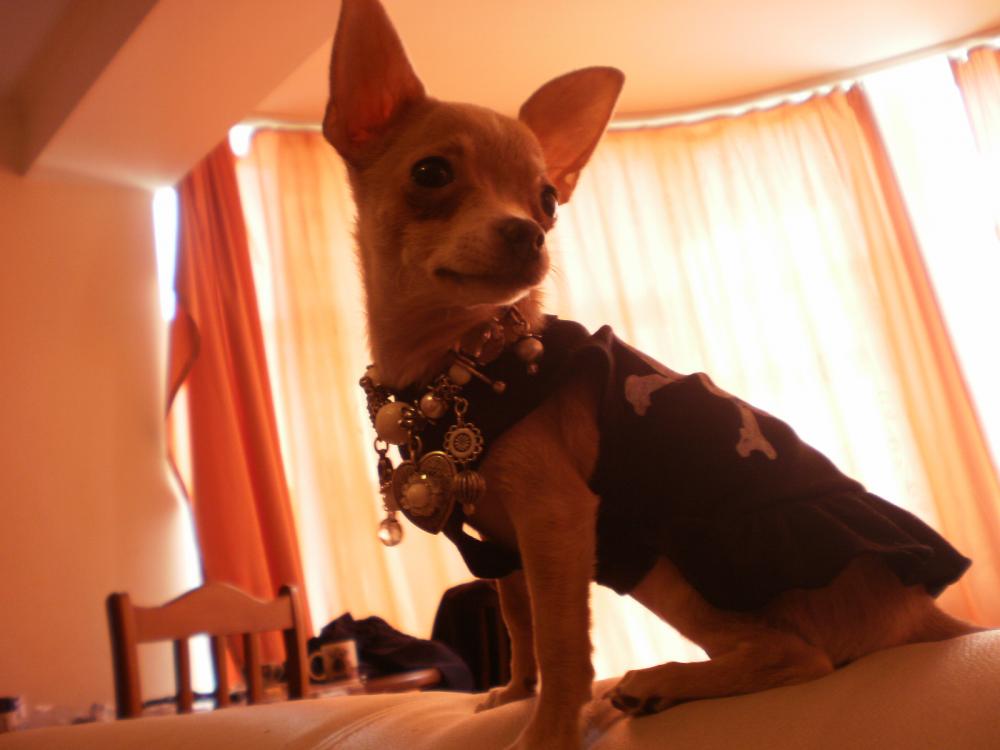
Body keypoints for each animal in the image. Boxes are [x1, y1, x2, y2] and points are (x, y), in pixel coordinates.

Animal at [322, 1, 977, 748]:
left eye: (548, 200)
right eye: (431, 173)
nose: (529, 232)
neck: (464, 359)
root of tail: (921, 615)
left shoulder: (557, 522)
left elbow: (563, 646)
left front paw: (548, 732)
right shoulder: (503, 547)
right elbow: (520, 625)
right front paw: (514, 694)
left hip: (667, 558)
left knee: (800, 656)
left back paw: (663, 681)